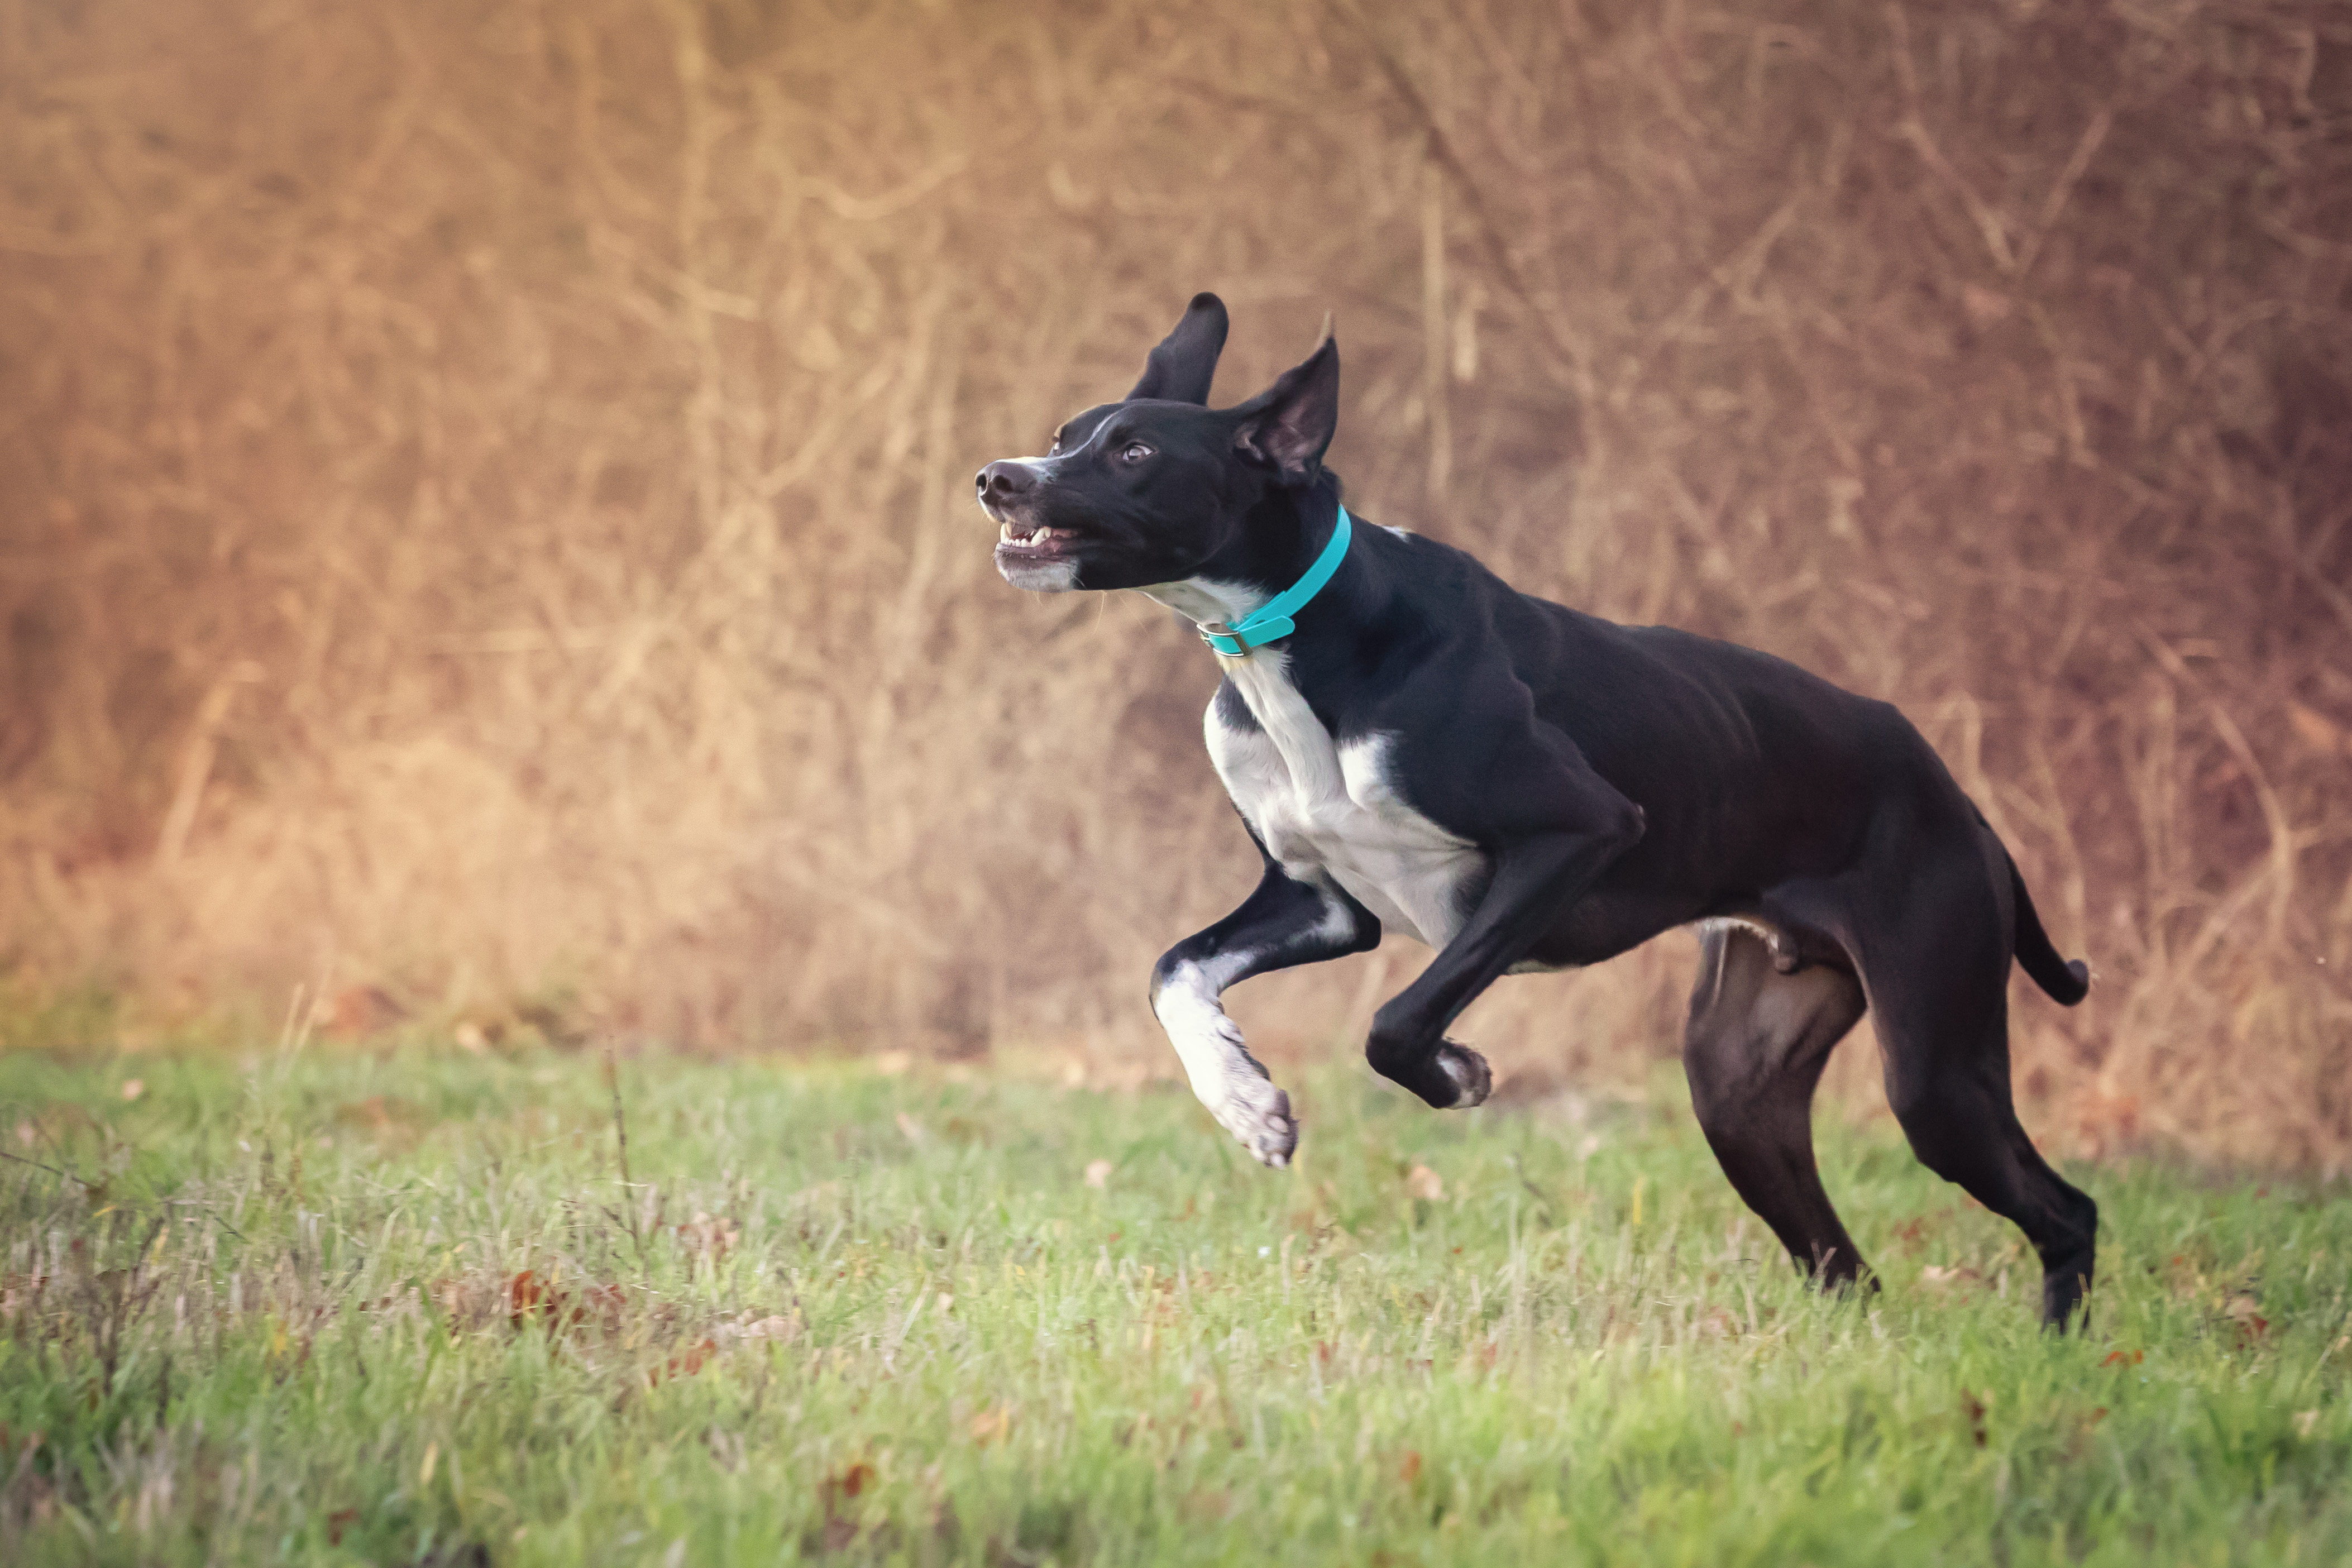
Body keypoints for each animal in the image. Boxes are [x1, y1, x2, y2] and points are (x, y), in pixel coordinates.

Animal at [973, 291, 2098, 1326]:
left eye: (1133, 451)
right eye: (1067, 435)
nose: (997, 478)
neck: (1298, 640)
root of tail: (1955, 795)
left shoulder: (1577, 837)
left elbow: (1395, 1022)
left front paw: (1455, 1070)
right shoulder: (1320, 902)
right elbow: (1173, 970)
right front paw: (1246, 1103)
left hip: (1934, 1068)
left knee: (2065, 1208)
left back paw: (2057, 1348)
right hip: (1738, 1087)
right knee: (1842, 1262)